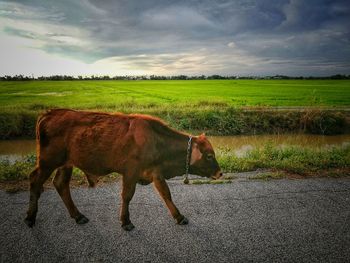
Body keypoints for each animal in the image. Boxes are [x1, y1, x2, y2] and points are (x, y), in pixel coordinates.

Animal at [23, 109, 221, 231]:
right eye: (209, 155)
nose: (220, 173)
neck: (155, 140)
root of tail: (50, 112)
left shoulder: (155, 173)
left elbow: (166, 194)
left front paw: (179, 217)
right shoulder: (131, 172)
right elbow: (127, 195)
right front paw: (126, 221)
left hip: (66, 164)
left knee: (61, 184)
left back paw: (78, 216)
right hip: (47, 162)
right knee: (35, 180)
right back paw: (30, 218)